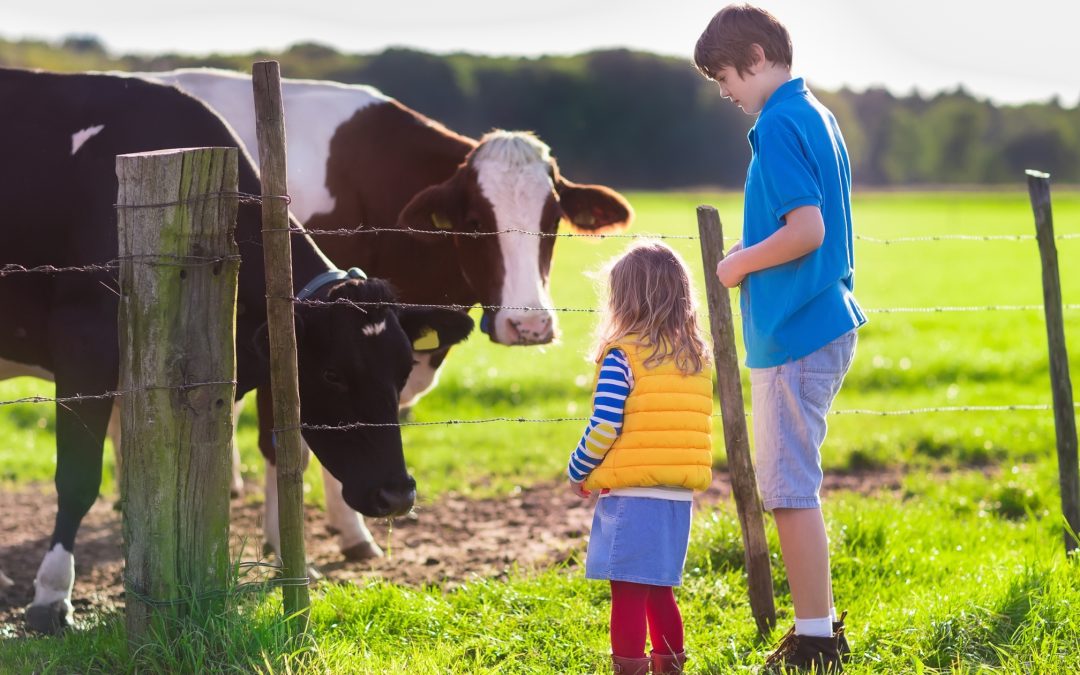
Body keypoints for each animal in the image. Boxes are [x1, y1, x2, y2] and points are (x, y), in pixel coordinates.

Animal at [0, 68, 473, 630]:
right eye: (333, 374)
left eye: (402, 372)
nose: (397, 493)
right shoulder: (84, 346)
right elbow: (78, 478)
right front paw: (52, 595)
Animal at [131, 68, 630, 561]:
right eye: (474, 222)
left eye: (553, 219)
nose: (529, 325)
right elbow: (289, 444)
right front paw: (287, 544)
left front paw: (351, 533)